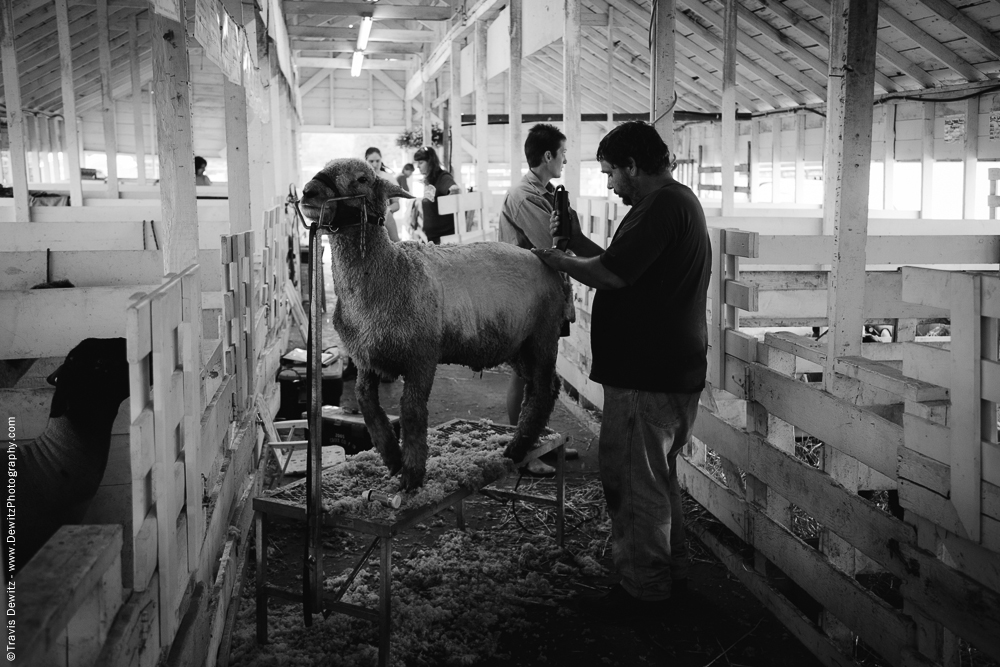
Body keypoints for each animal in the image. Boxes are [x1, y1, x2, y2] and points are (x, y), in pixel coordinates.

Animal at [296, 158, 576, 490]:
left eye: (362, 178)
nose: (309, 191)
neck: (392, 271)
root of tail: (546, 260)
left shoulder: (422, 357)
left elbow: (412, 412)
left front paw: (412, 474)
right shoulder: (366, 358)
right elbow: (367, 403)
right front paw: (392, 458)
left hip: (543, 335)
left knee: (544, 388)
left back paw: (517, 447)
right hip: (517, 346)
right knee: (541, 386)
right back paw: (522, 442)